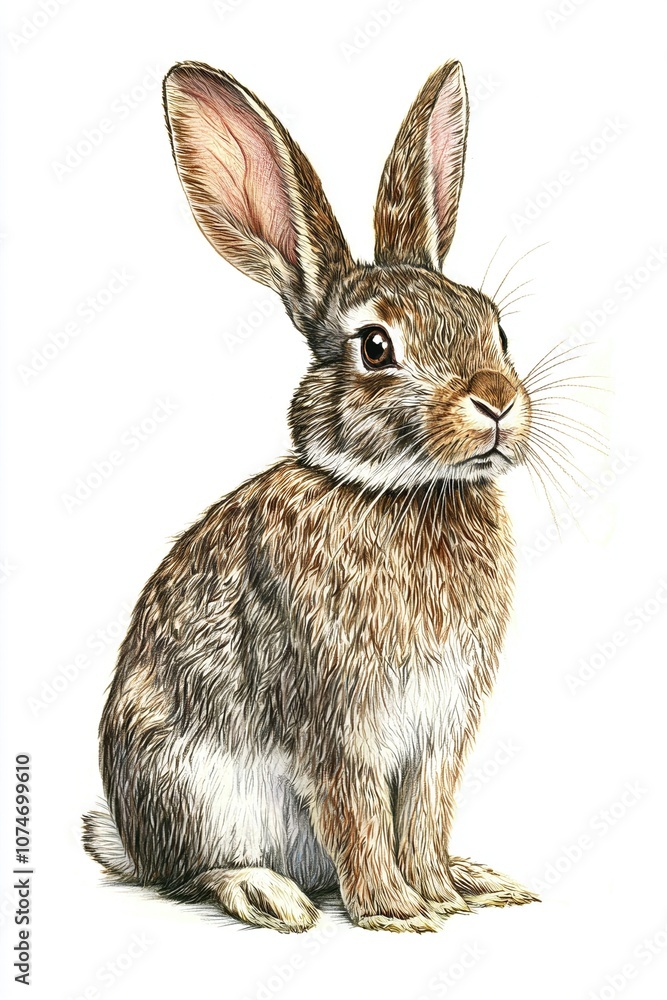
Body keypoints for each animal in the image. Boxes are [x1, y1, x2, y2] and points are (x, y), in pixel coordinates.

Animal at [83, 58, 541, 933]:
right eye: (375, 347)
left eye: (495, 327)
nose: (497, 401)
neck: (401, 492)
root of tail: (125, 838)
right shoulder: (336, 719)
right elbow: (357, 813)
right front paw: (396, 913)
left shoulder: (440, 733)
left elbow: (423, 817)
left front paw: (440, 892)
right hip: (191, 788)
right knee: (191, 871)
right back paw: (267, 894)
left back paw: (475, 880)